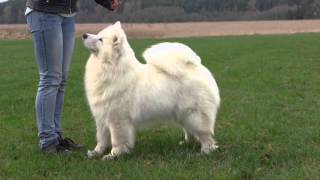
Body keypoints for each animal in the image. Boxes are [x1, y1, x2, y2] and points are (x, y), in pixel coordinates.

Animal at [82, 21, 220, 160]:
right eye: (98, 34)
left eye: (100, 39)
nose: (84, 35)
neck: (111, 69)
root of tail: (197, 67)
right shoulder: (102, 117)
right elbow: (101, 139)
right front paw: (96, 152)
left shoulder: (118, 119)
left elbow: (117, 140)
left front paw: (113, 155)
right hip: (183, 114)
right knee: (189, 130)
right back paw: (186, 143)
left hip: (195, 115)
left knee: (205, 135)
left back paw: (205, 151)